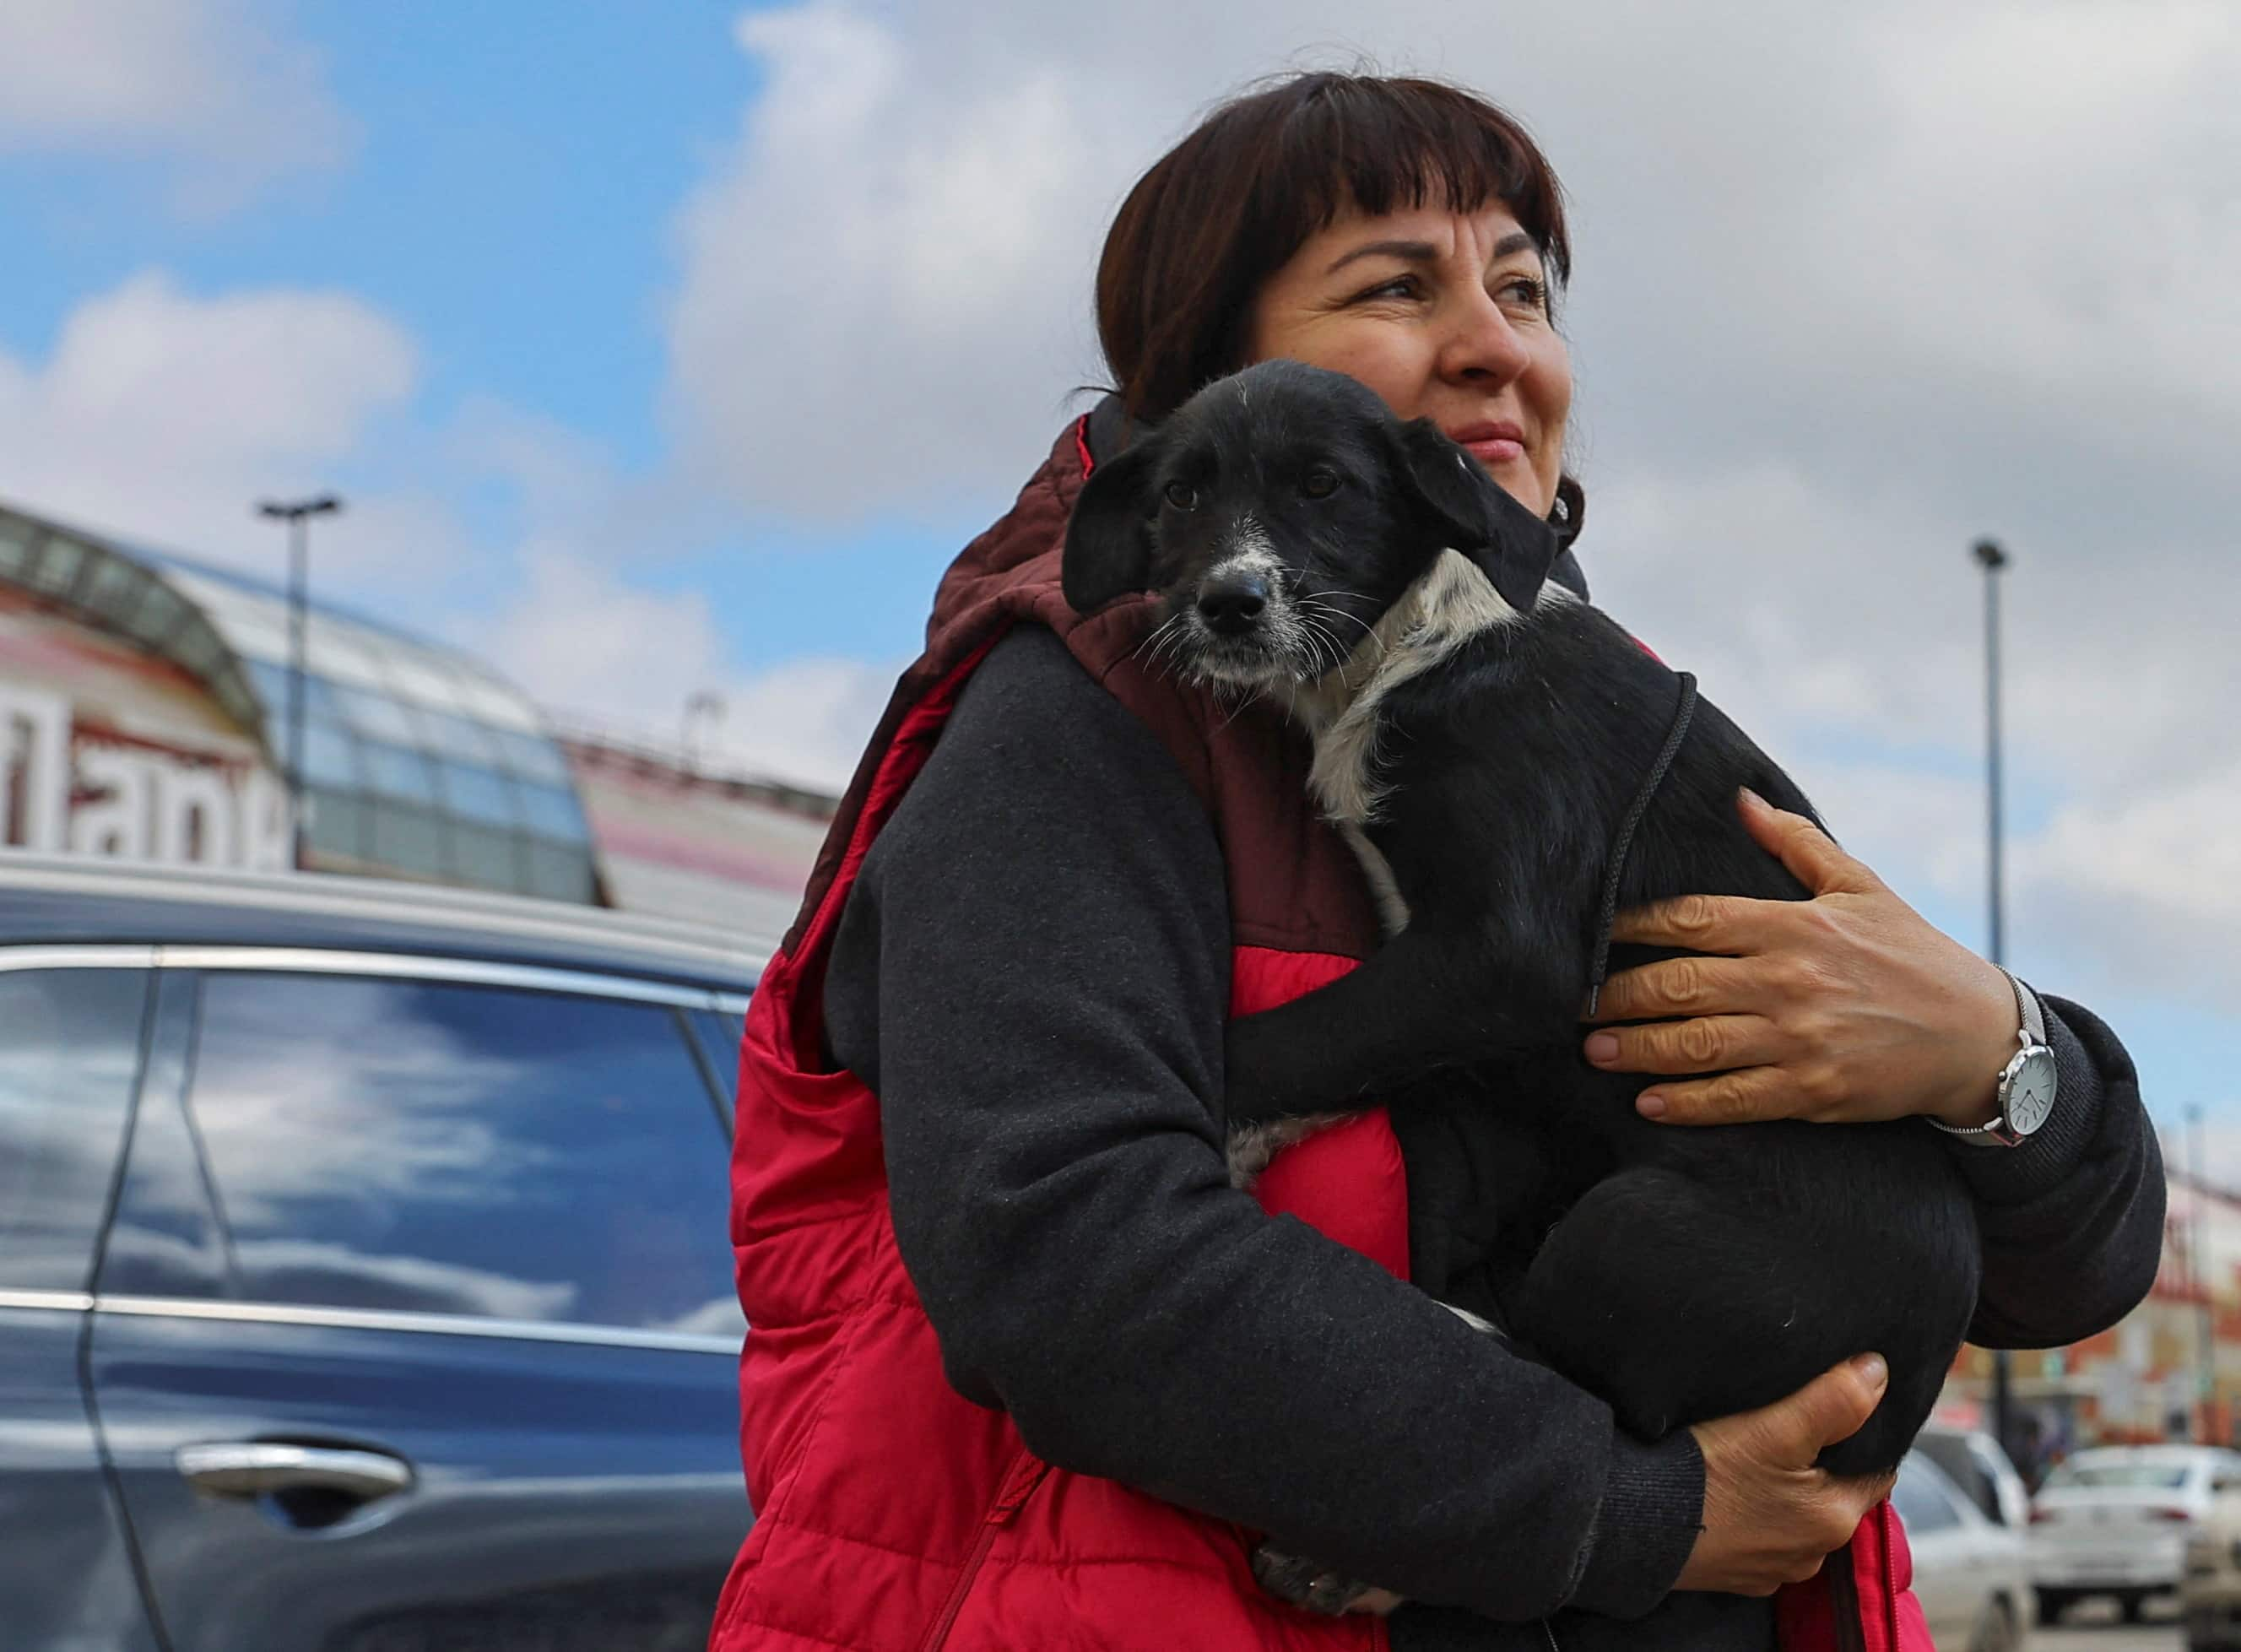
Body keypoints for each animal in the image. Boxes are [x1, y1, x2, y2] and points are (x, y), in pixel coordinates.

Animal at [1066, 358, 1981, 1541]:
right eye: (1180, 494)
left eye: (1323, 484)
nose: (1228, 601)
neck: (1420, 646)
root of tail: (1895, 1422)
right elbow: (1345, 1045)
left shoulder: (1510, 951)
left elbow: (1283, 1039)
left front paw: (1223, 1135)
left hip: (1637, 1231)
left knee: (1618, 1402)